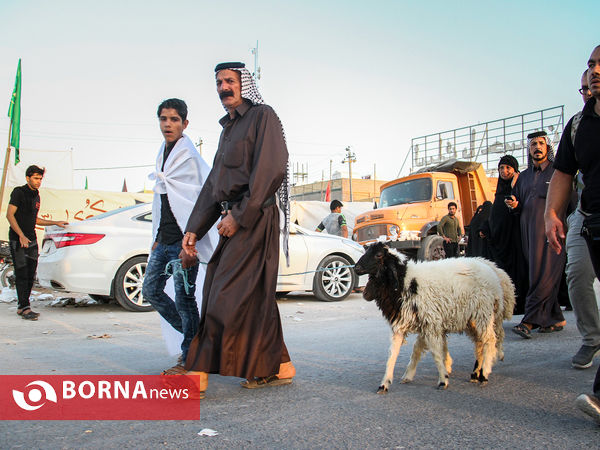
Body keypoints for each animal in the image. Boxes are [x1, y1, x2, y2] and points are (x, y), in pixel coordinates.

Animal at [352, 241, 516, 392]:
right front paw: (386, 383)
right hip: (472, 319)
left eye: (378, 255)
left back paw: (484, 373)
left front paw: (443, 379)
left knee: (489, 340)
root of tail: (493, 271)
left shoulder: (430, 322)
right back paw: (476, 373)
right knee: (480, 343)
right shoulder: (407, 324)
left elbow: (436, 352)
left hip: (483, 312)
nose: (356, 267)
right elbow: (395, 354)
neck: (405, 281)